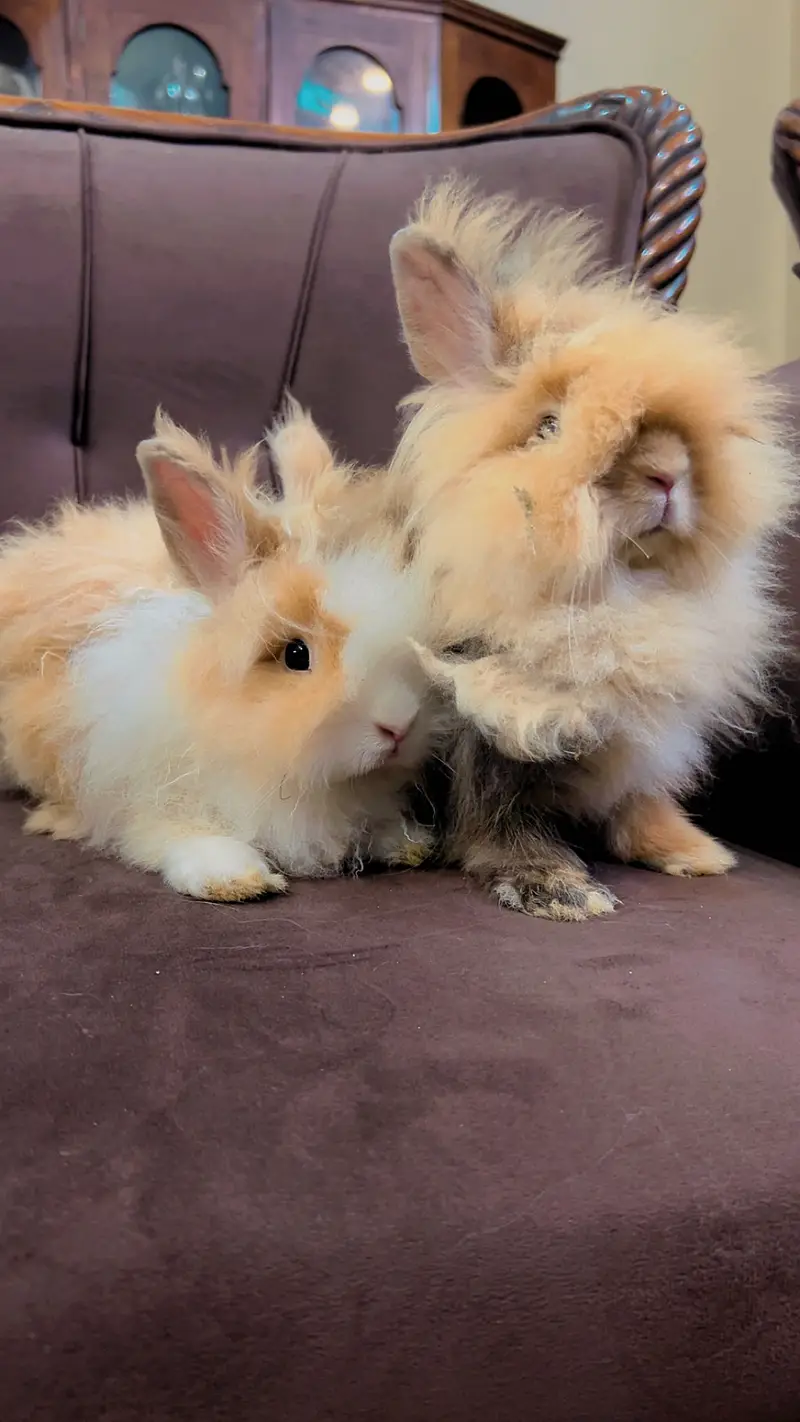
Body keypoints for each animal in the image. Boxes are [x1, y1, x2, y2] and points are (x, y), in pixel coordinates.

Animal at [0, 407, 437, 901]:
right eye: (295, 655)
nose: (399, 725)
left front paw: (406, 842)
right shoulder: (146, 795)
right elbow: (180, 834)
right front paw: (235, 879)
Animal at [380, 179, 797, 919]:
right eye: (548, 427)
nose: (667, 472)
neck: (616, 595)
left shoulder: (647, 736)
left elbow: (641, 800)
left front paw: (693, 854)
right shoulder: (490, 726)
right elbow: (500, 817)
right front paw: (559, 892)